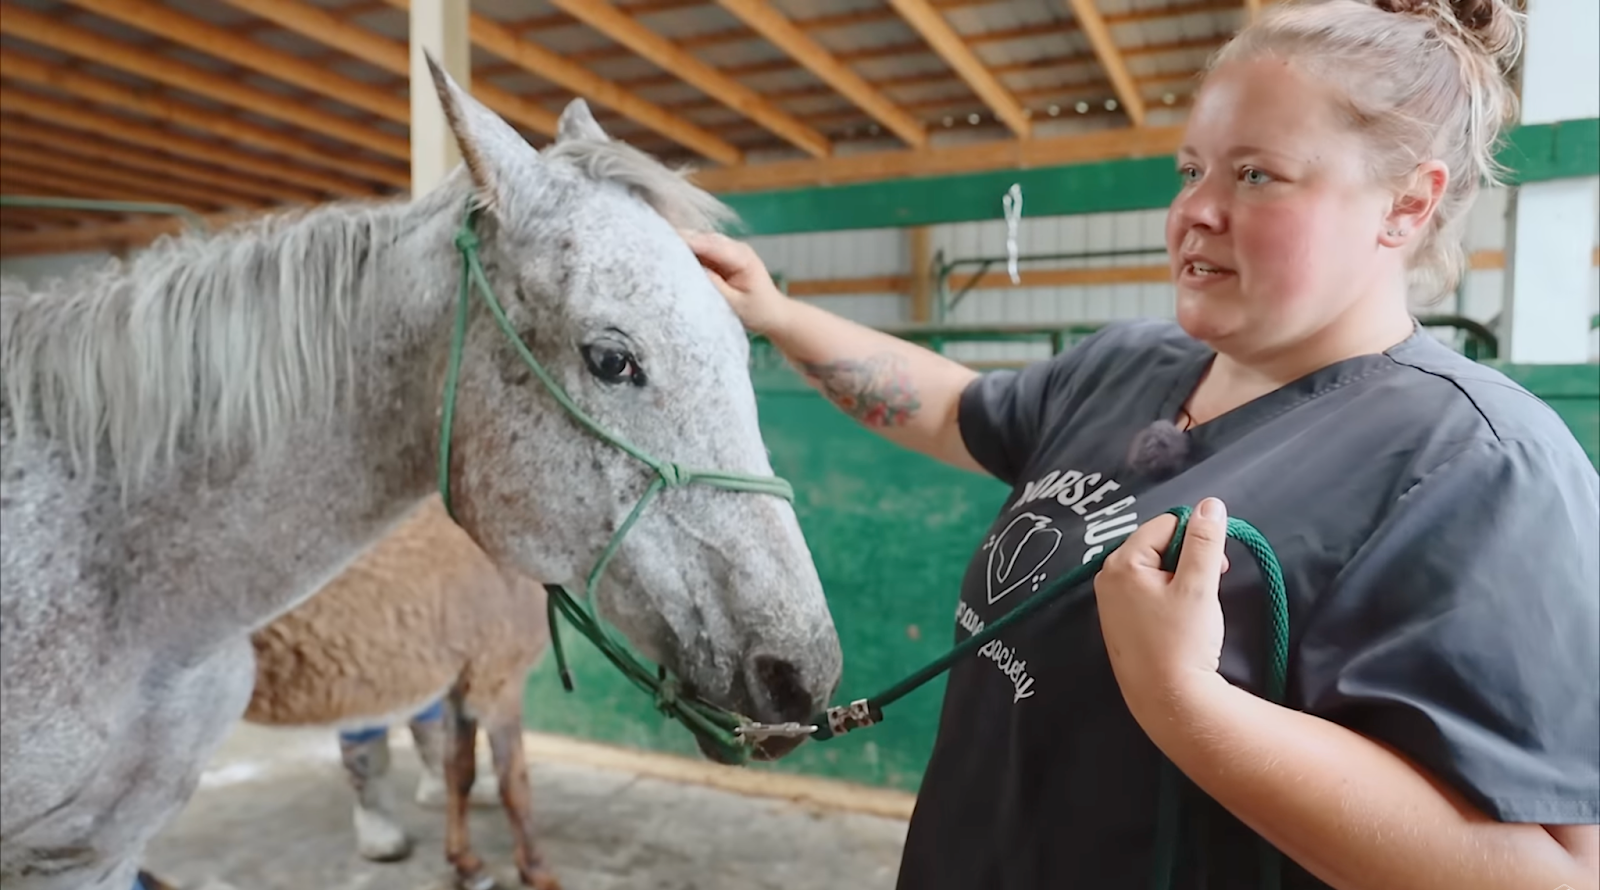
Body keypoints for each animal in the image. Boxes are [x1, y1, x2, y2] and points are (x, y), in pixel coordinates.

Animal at [245, 495, 556, 889]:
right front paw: (538, 871)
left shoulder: (462, 679)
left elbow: (459, 770)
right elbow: (514, 782)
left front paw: (467, 864)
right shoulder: (498, 674)